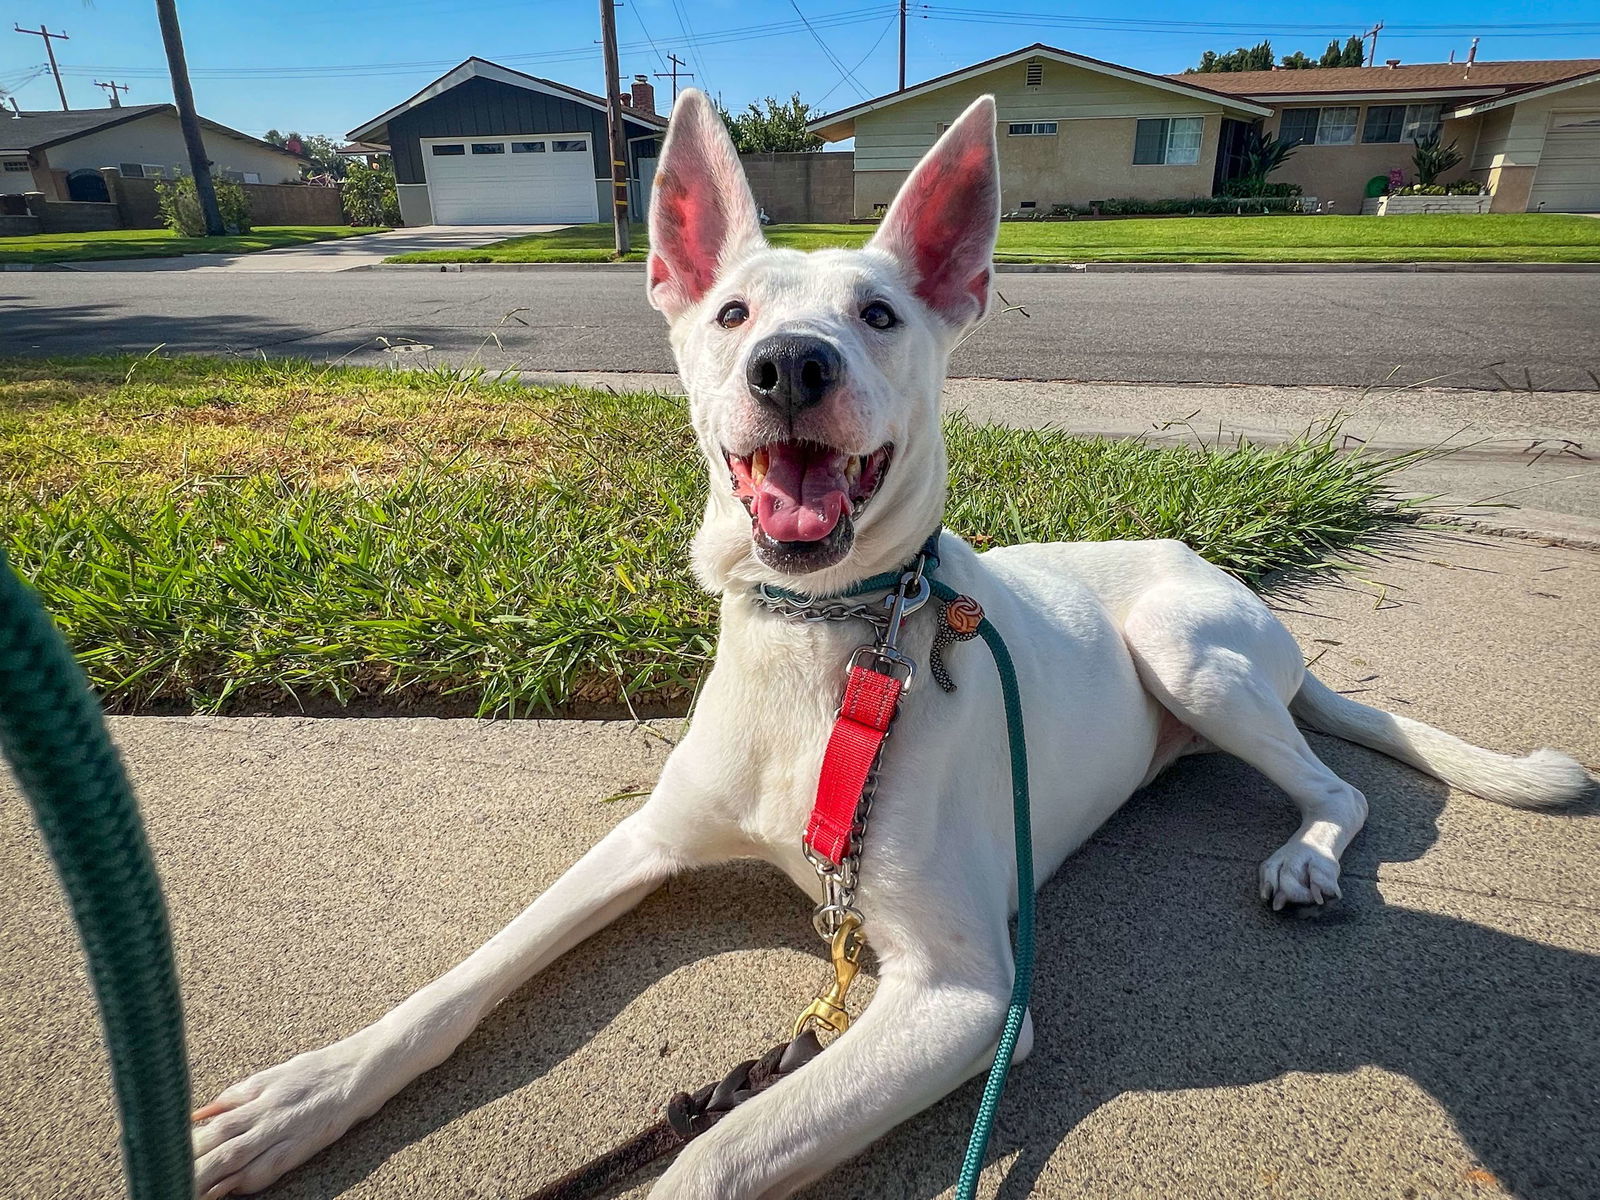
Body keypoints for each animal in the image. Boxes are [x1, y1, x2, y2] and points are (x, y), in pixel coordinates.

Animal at [187, 89, 1587, 1196]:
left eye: (877, 314)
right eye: (732, 311)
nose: (789, 366)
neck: (819, 645)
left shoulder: (968, 1000)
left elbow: (714, 1154)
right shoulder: (641, 843)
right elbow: (461, 981)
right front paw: (301, 1095)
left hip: (1188, 651)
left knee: (1334, 783)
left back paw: (1303, 855)